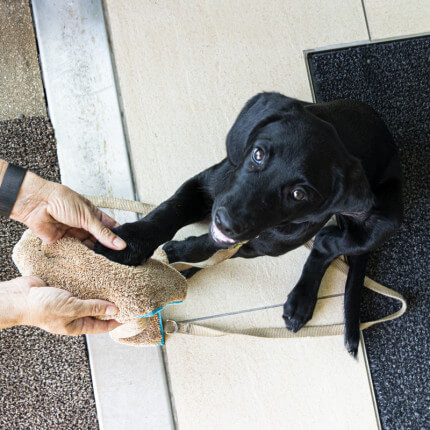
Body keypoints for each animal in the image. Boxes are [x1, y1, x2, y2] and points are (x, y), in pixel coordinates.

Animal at [95, 93, 404, 356]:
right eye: (258, 154)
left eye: (299, 194)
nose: (226, 222)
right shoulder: (205, 185)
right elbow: (168, 213)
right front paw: (131, 242)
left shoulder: (258, 245)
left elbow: (205, 248)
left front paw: (176, 256)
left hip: (382, 223)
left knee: (326, 243)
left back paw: (302, 300)